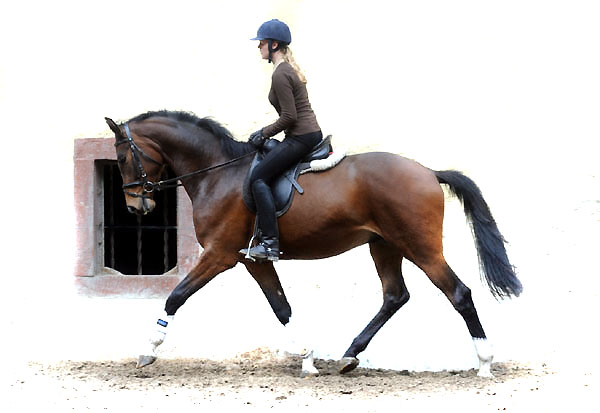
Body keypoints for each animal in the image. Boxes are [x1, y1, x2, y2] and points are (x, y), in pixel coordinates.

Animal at [105, 109, 524, 376]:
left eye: (123, 157)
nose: (136, 206)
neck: (216, 173)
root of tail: (428, 172)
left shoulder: (220, 255)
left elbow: (176, 296)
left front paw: (148, 348)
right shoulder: (255, 259)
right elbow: (282, 307)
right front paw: (307, 358)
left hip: (419, 247)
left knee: (458, 293)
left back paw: (484, 361)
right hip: (384, 245)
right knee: (395, 296)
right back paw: (349, 356)